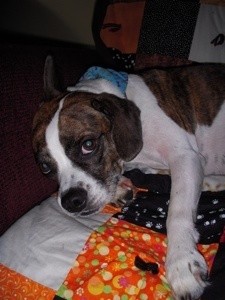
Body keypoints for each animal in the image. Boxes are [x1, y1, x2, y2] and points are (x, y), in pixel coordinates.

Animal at [32, 55, 225, 298]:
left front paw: (182, 262)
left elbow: (178, 212)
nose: (71, 201)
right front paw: (121, 187)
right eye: (45, 168)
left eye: (88, 144)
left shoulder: (185, 157)